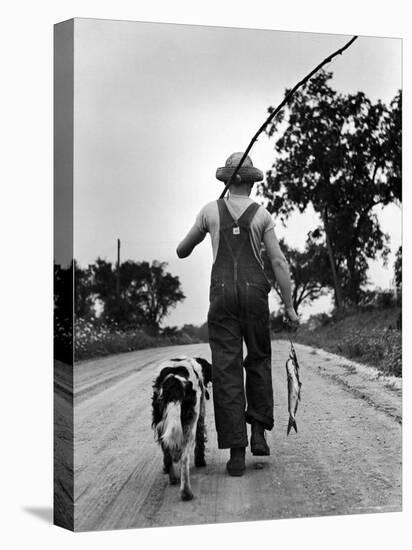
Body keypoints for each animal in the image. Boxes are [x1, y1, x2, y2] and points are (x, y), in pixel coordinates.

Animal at [151, 358, 212, 504]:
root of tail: (174, 383)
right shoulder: (200, 417)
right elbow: (200, 440)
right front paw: (200, 462)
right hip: (190, 425)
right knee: (184, 459)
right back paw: (186, 493)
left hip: (160, 423)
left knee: (167, 455)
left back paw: (173, 478)